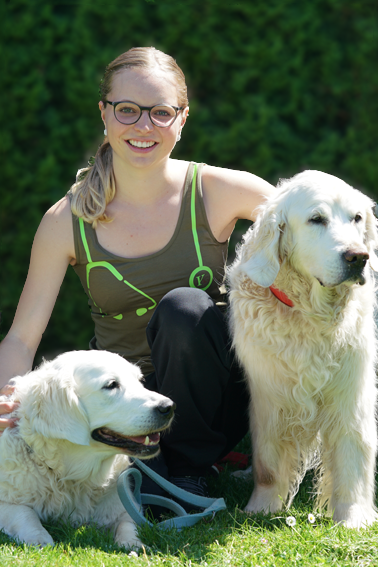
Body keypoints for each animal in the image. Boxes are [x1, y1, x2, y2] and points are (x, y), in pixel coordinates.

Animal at [0, 352, 175, 548]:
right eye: (111, 385)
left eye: (139, 380)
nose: (168, 407)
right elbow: (24, 513)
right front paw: (39, 538)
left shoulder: (124, 503)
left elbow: (128, 523)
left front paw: (134, 543)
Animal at [227, 171, 378, 532]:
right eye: (316, 219)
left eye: (357, 218)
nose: (358, 257)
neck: (311, 316)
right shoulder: (270, 397)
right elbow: (267, 460)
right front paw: (261, 506)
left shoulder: (351, 393)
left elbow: (353, 452)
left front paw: (354, 516)